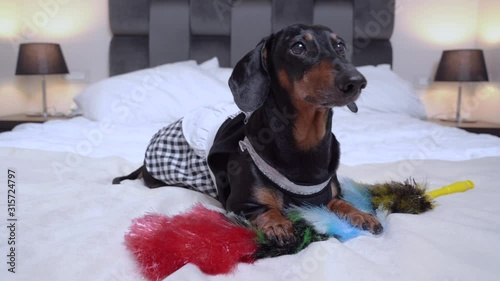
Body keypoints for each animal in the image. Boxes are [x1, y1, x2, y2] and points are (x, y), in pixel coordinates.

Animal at [113, 24, 380, 243]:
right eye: (298, 47)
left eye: (340, 46)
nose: (357, 81)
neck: (306, 145)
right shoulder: (240, 204)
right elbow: (266, 209)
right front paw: (278, 224)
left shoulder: (330, 196)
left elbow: (342, 204)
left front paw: (362, 215)